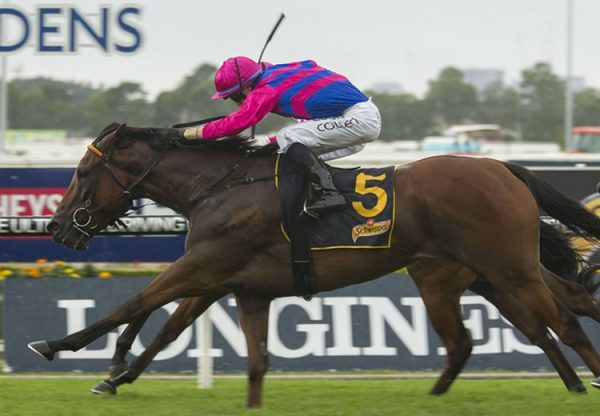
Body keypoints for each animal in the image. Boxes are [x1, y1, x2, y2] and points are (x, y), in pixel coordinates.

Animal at [29, 123, 600, 406]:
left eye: (83, 173)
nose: (56, 227)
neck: (220, 187)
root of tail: (502, 167)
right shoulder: (220, 276)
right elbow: (170, 326)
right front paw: (116, 375)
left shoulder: (204, 265)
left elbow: (134, 302)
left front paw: (58, 345)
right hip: (493, 270)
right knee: (547, 316)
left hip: (501, 267)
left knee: (559, 321)